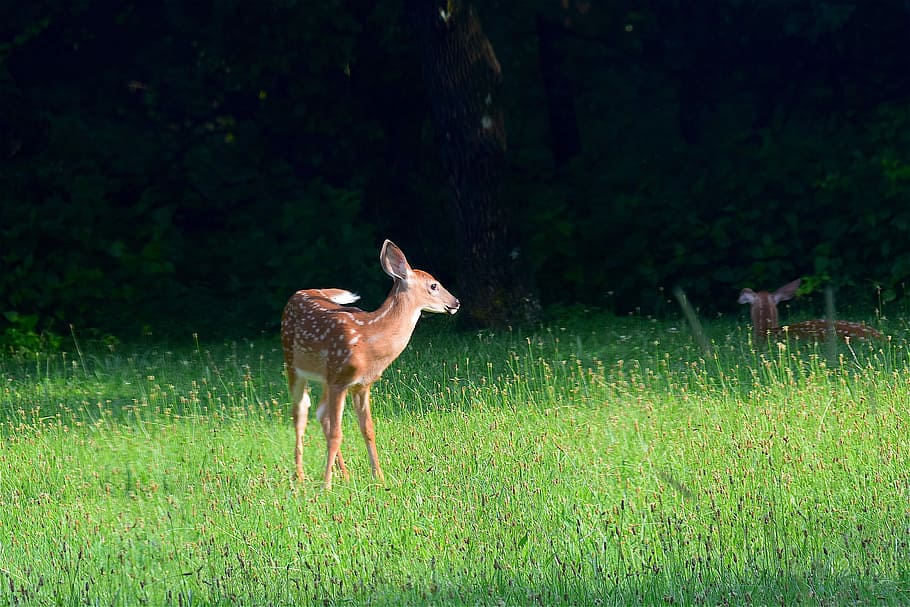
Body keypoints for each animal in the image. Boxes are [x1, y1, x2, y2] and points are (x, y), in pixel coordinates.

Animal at [281, 240, 460, 489]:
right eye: (433, 285)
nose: (455, 302)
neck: (368, 338)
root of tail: (299, 293)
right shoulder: (340, 380)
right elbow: (337, 433)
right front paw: (326, 485)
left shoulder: (361, 384)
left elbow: (368, 430)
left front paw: (380, 477)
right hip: (292, 362)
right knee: (300, 413)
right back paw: (300, 476)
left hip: (326, 376)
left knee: (320, 412)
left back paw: (344, 475)